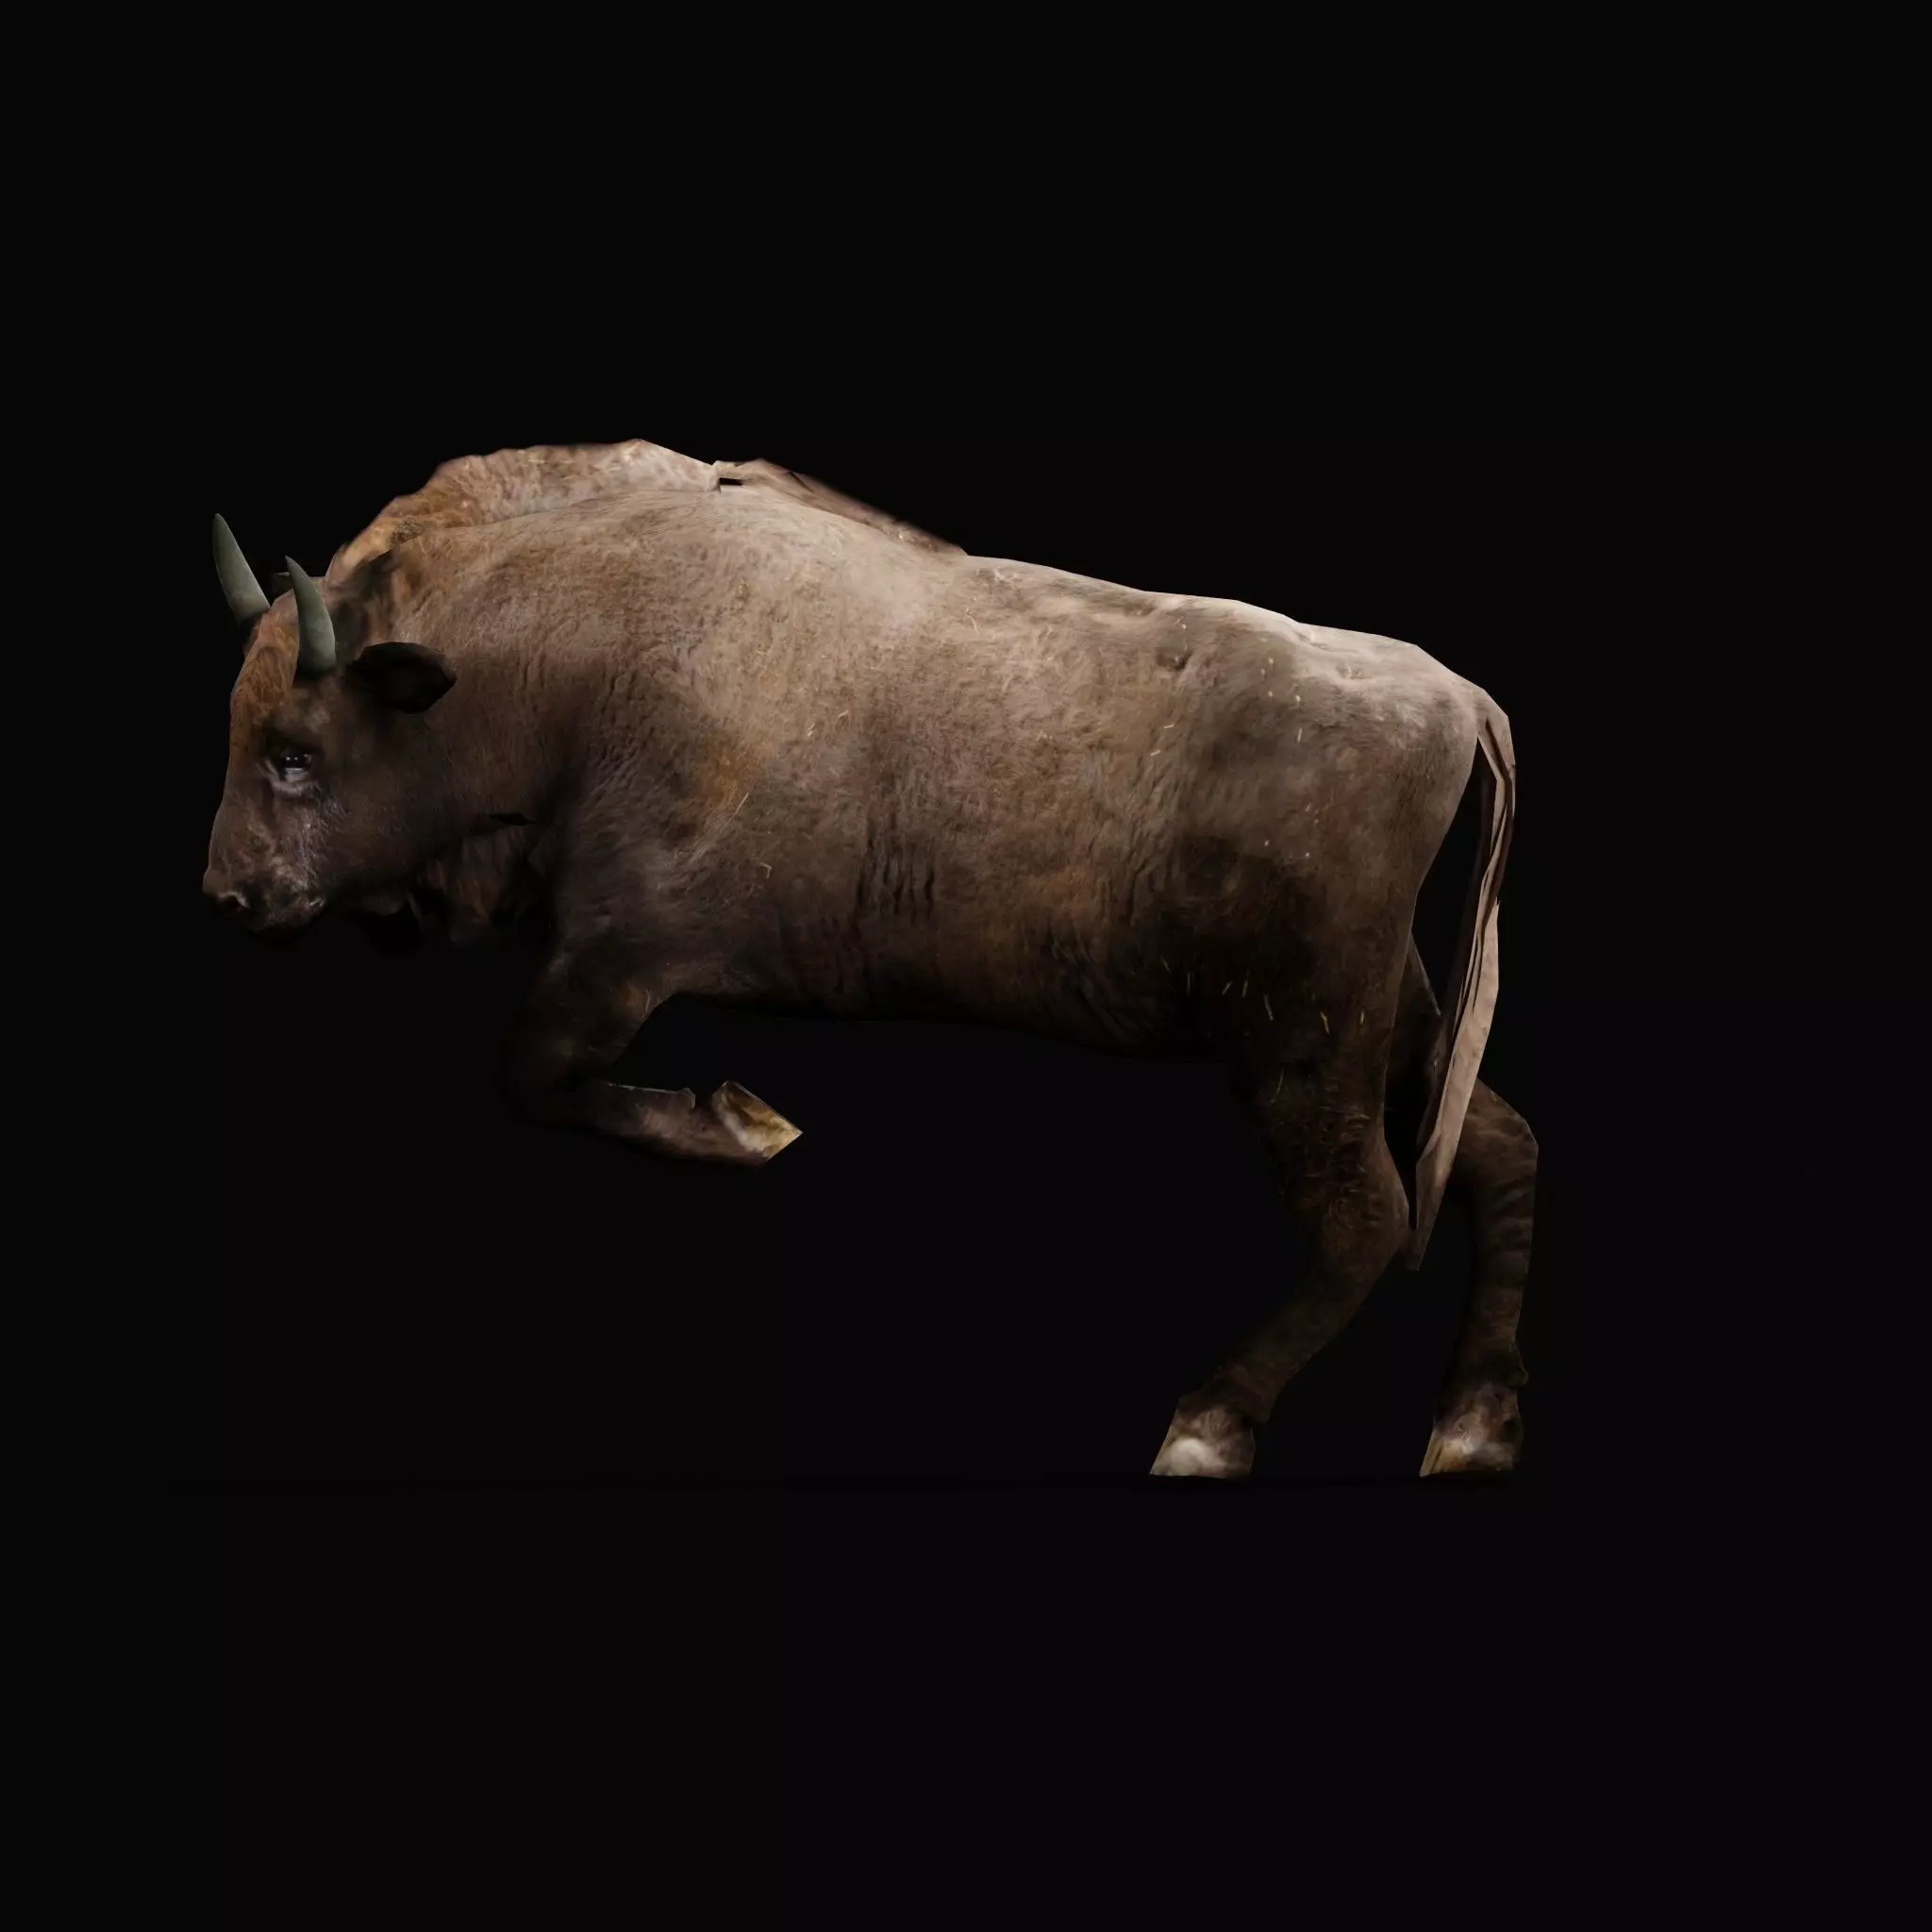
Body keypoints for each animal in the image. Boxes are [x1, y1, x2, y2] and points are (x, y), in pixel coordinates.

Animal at [204, 440, 1538, 1480]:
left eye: (294, 751)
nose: (229, 893)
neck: (571, 651)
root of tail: (1455, 697)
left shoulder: (615, 958)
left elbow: (534, 1077)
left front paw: (747, 1123)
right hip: (1394, 1029)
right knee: (1496, 1149)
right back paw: (1472, 1427)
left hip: (1298, 1052)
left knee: (1367, 1216)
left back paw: (1206, 1426)